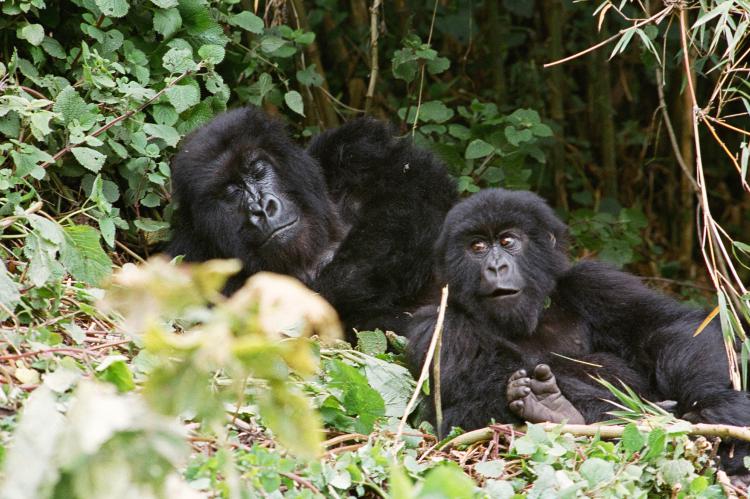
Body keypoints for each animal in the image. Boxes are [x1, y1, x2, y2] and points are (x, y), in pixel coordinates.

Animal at [167, 108, 456, 338]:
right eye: (230, 191)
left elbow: (418, 190)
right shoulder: (190, 257)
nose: (261, 209)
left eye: (257, 169)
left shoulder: (356, 148)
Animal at [412, 189, 750, 474]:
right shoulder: (437, 322)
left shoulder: (594, 281)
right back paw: (557, 412)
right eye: (478, 247)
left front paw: (714, 404)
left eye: (508, 242)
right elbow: (474, 387)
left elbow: (669, 327)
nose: (496, 268)